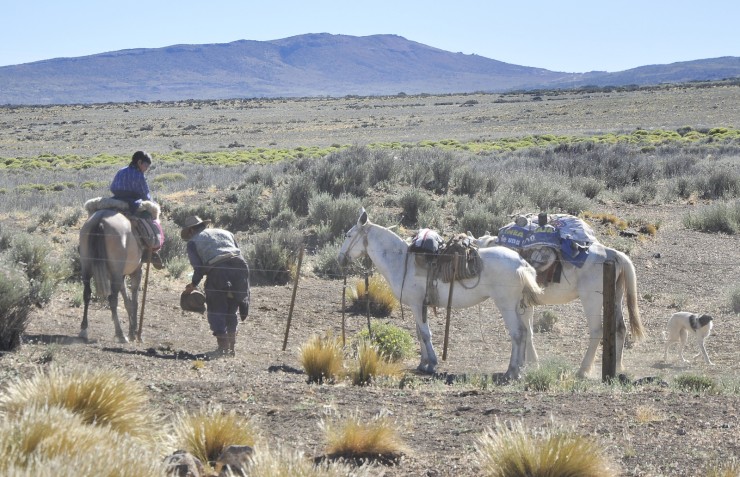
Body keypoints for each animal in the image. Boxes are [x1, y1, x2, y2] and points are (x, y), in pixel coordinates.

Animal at [338, 208, 540, 380]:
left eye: (349, 235)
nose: (340, 258)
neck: (401, 261)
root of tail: (521, 263)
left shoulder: (417, 304)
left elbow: (425, 333)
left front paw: (432, 364)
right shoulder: (419, 306)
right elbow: (419, 332)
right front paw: (422, 363)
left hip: (506, 305)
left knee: (517, 333)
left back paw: (511, 372)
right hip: (520, 306)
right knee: (525, 332)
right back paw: (519, 369)